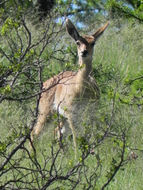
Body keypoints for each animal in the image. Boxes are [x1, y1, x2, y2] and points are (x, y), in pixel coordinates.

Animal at [30, 18, 108, 154]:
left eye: (93, 43)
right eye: (78, 42)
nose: (84, 52)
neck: (82, 89)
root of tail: (43, 84)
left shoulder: (91, 114)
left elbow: (89, 136)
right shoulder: (72, 115)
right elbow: (77, 138)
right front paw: (78, 156)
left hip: (61, 117)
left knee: (57, 132)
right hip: (46, 113)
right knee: (35, 133)